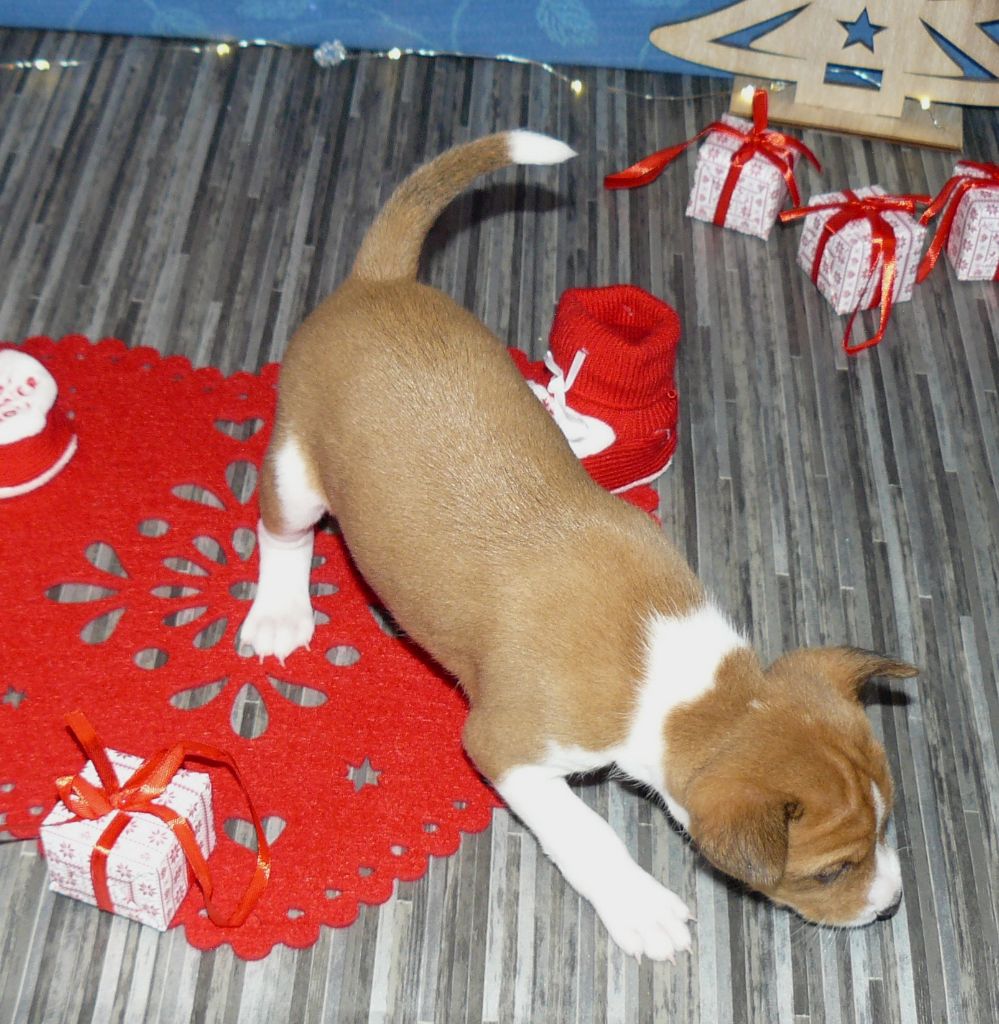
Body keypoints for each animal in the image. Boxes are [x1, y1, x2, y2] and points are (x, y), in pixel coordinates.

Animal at [239, 131, 918, 961]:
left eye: (885, 825)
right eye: (830, 872)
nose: (889, 905)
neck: (691, 685)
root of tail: (378, 279)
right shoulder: (505, 747)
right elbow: (587, 833)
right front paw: (640, 906)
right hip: (297, 470)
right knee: (282, 532)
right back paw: (279, 612)